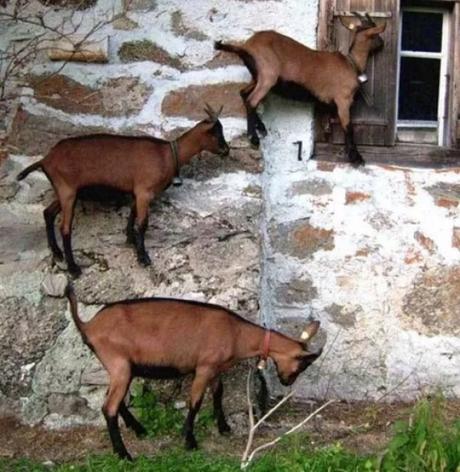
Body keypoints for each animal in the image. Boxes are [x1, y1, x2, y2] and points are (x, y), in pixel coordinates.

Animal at [17, 105, 229, 276]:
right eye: (216, 133)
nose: (227, 150)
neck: (167, 155)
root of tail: (45, 159)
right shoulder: (144, 191)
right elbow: (142, 224)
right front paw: (143, 257)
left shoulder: (138, 192)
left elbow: (132, 216)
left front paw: (130, 241)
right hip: (67, 191)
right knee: (65, 228)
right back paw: (73, 268)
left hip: (66, 192)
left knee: (48, 213)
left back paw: (57, 253)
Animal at [64, 284, 324, 460]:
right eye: (303, 364)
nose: (287, 382)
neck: (236, 333)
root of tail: (88, 326)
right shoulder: (204, 367)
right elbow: (195, 402)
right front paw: (189, 440)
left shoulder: (215, 369)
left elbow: (218, 394)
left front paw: (224, 427)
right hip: (119, 364)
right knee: (108, 407)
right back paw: (124, 454)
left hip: (121, 368)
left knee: (114, 401)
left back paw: (139, 430)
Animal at [217, 12, 386, 167]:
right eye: (375, 32)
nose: (382, 43)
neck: (351, 63)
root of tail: (245, 47)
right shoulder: (343, 101)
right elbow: (348, 128)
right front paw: (356, 158)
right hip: (267, 76)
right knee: (252, 101)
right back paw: (253, 138)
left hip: (257, 77)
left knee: (244, 93)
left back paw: (261, 127)